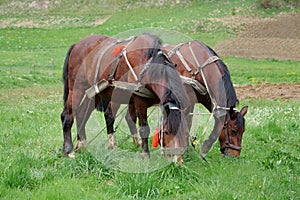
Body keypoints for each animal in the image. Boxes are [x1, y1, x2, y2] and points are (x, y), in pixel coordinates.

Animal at [59, 32, 189, 161]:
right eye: (166, 132)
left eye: (184, 131)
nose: (178, 160)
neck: (148, 65)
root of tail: (77, 44)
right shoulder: (139, 101)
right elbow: (144, 128)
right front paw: (145, 154)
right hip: (77, 88)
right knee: (67, 115)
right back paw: (68, 150)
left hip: (94, 93)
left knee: (81, 115)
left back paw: (82, 145)